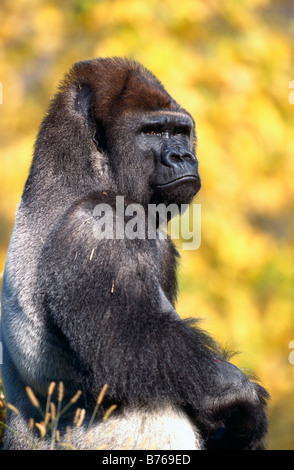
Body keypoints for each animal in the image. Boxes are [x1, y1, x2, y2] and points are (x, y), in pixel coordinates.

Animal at [0, 57, 268, 450]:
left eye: (180, 132)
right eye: (152, 132)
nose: (183, 155)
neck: (83, 173)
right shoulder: (97, 224)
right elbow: (131, 348)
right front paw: (237, 394)